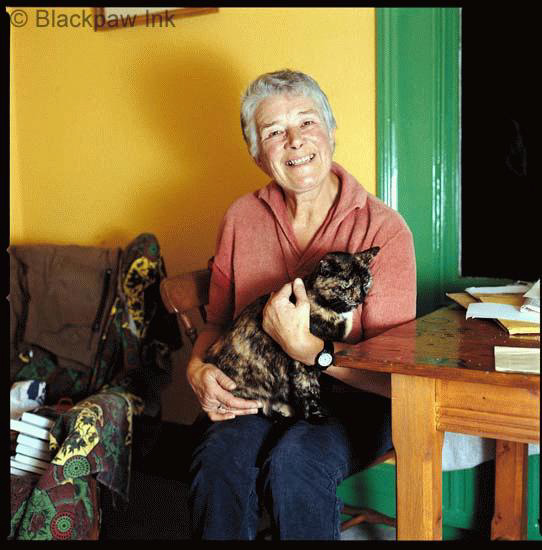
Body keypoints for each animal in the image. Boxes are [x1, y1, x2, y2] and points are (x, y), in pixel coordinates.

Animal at [204, 247, 380, 420]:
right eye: (346, 286)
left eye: (365, 282)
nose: (360, 298)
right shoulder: (301, 361)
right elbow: (308, 386)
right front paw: (316, 414)